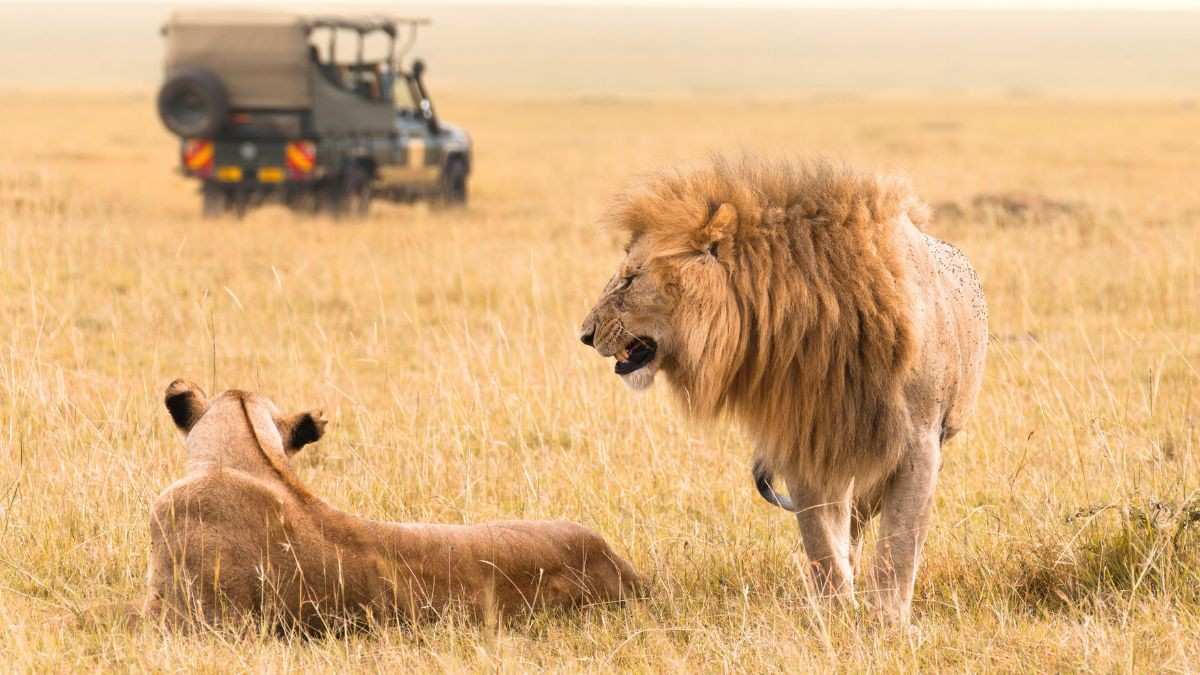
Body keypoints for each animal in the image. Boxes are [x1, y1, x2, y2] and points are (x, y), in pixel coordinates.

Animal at [579, 158, 987, 623]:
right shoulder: (806, 441)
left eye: (630, 280)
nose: (585, 335)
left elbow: (899, 544)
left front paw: (887, 622)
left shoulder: (919, 442)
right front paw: (835, 614)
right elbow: (821, 541)